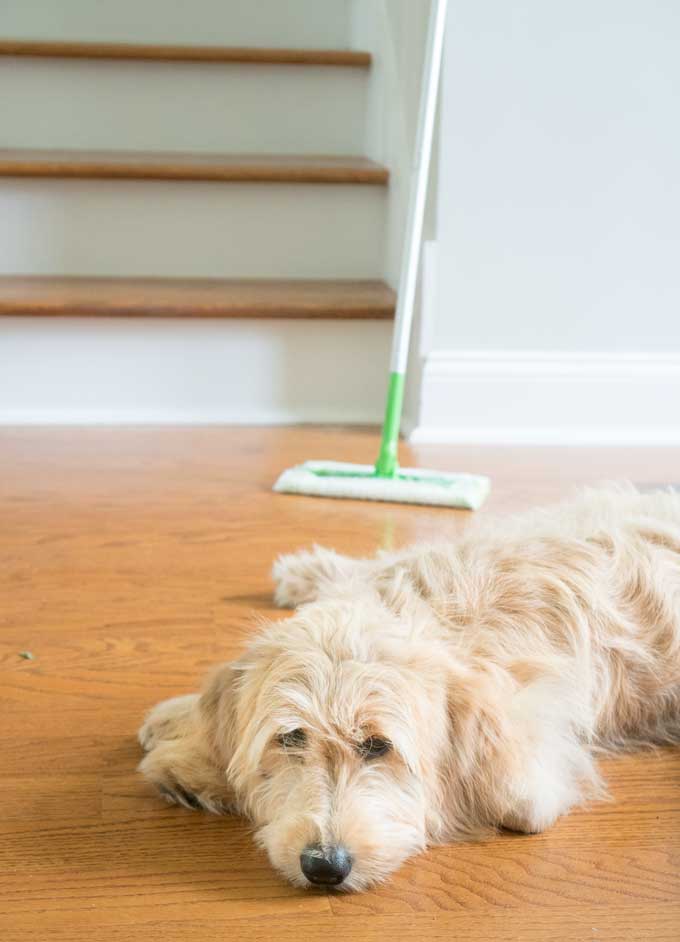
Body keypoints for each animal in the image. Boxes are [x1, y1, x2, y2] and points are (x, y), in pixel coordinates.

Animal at [138, 486, 680, 892]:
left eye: (379, 746)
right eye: (291, 738)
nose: (325, 866)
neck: (433, 615)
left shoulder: (538, 763)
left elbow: (518, 800)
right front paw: (187, 734)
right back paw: (306, 572)